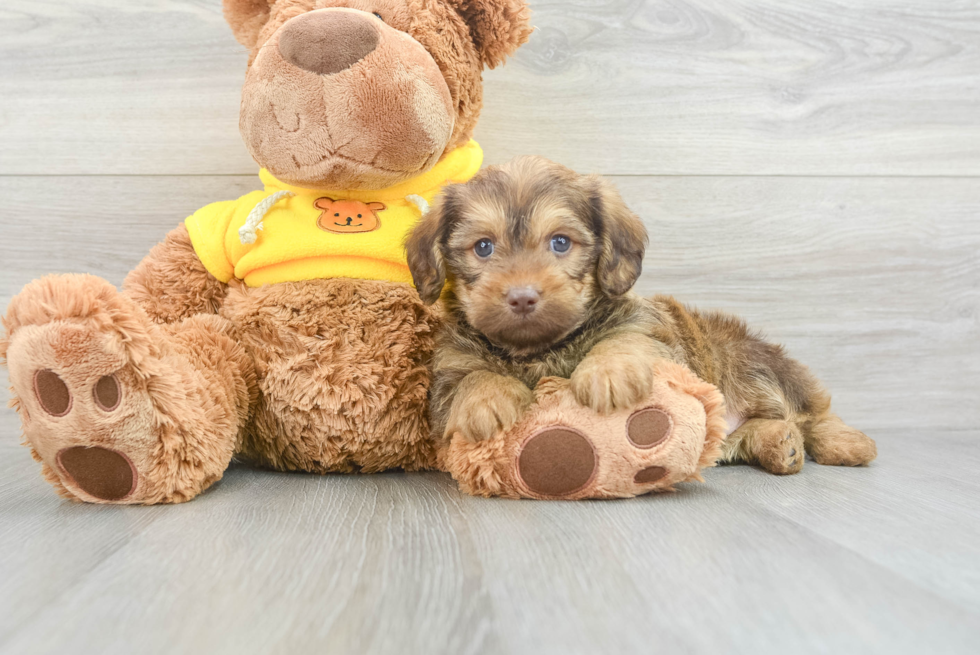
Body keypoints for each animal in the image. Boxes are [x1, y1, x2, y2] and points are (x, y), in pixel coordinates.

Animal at [402, 156, 876, 474]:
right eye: (483, 247)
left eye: (560, 243)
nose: (521, 297)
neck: (539, 350)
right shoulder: (446, 376)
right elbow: (470, 378)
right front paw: (487, 400)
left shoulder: (648, 329)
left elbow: (625, 340)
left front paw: (606, 374)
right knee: (755, 432)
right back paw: (780, 444)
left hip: (754, 361)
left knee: (812, 411)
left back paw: (846, 443)